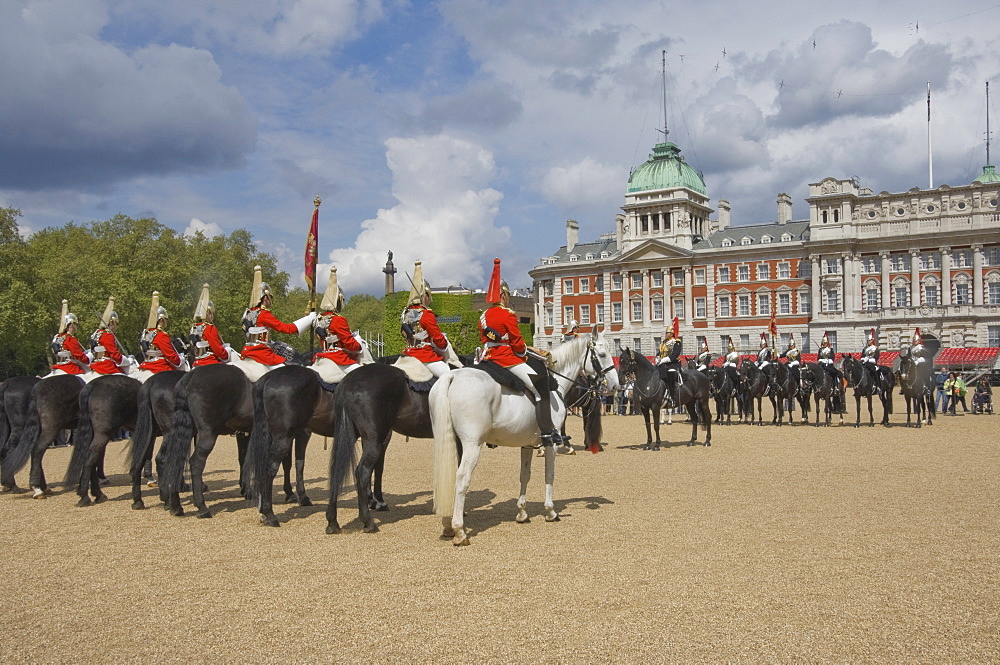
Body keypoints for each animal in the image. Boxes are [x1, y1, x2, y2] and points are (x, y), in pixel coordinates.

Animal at [430, 330, 616, 544]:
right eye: (602, 354)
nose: (615, 385)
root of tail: (452, 375)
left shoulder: (527, 445)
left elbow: (524, 475)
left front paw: (522, 512)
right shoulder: (551, 442)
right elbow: (549, 474)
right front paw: (550, 511)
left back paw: (447, 525)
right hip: (472, 444)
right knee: (461, 479)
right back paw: (459, 530)